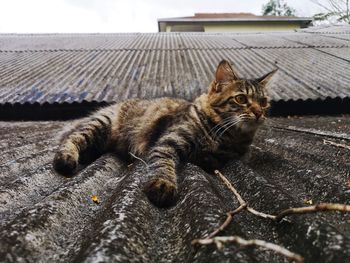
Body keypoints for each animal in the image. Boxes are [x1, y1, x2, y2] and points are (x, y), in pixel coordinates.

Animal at [53, 59, 276, 208]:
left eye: (264, 101)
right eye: (241, 99)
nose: (259, 112)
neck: (227, 136)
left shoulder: (228, 155)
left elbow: (213, 158)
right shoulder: (168, 140)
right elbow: (163, 162)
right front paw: (163, 184)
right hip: (101, 125)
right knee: (72, 138)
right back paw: (66, 158)